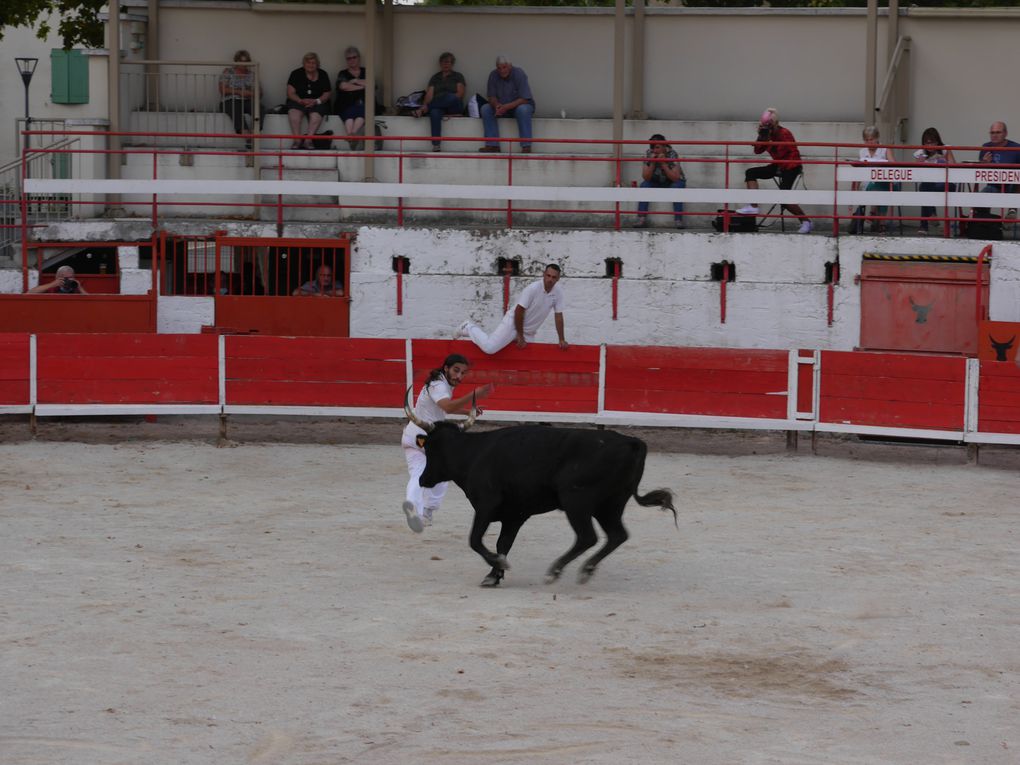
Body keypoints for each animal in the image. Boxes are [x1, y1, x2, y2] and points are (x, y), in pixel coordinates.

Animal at [414, 420, 677, 587]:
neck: (473, 453)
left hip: (576, 501)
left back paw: (556, 571)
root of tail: (632, 443)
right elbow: (503, 543)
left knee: (587, 537)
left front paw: (497, 567)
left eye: (430, 449)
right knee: (617, 535)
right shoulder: (515, 515)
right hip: (610, 505)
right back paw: (587, 569)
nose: (422, 479)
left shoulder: (486, 505)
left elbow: (476, 540)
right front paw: (494, 575)